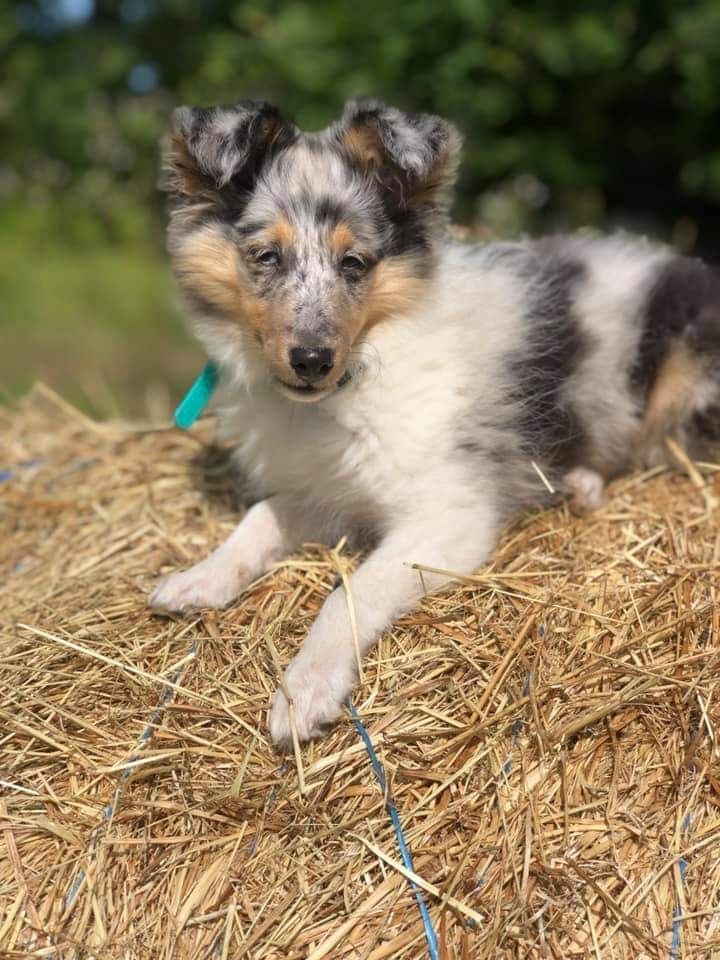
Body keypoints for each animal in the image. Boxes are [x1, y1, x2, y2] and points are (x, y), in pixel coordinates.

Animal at [150, 97, 720, 744]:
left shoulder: (446, 517)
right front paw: (199, 578)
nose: (312, 361)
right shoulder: (324, 490)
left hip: (684, 386)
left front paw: (305, 690)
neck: (348, 386)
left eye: (354, 262)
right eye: (266, 256)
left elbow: (352, 590)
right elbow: (258, 519)